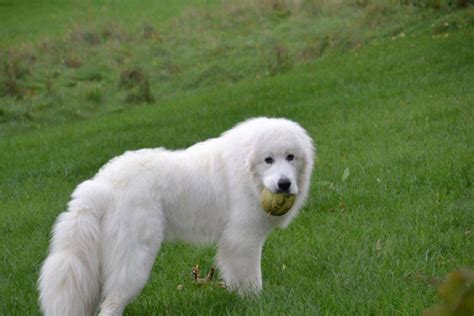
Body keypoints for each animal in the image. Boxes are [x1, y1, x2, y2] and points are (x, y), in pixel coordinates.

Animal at [38, 117, 314, 314]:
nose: (284, 184)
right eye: (268, 160)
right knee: (111, 304)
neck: (247, 174)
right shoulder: (242, 241)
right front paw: (256, 303)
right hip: (135, 260)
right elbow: (251, 279)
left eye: (290, 157)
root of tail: (102, 184)